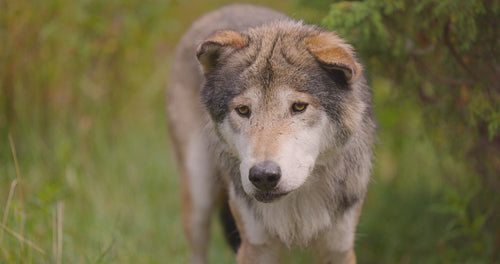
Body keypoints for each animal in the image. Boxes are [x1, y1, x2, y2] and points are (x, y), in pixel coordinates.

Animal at [167, 4, 376, 264]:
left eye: (298, 107)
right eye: (243, 110)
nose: (264, 176)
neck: (297, 202)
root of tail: (226, 7)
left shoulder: (338, 248)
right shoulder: (256, 247)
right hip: (198, 197)